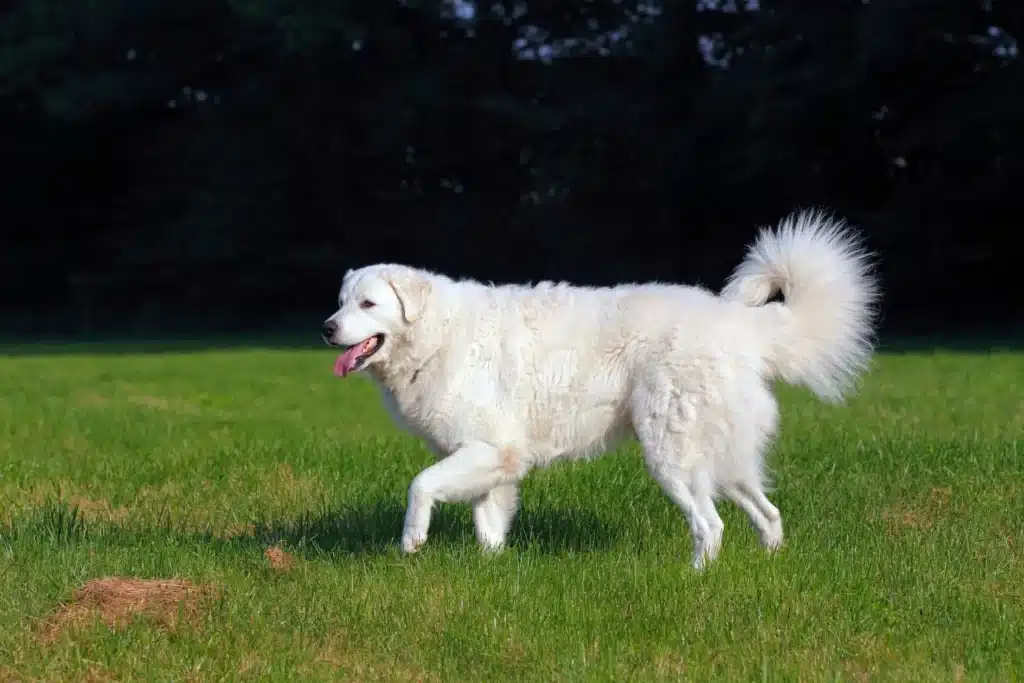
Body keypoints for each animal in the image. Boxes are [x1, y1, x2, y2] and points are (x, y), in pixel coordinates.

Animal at [321, 210, 880, 569]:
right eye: (342, 301)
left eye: (368, 305)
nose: (327, 329)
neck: (435, 333)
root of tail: (740, 324)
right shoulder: (495, 462)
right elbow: (489, 524)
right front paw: (491, 571)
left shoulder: (486, 449)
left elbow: (420, 485)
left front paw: (411, 542)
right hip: (723, 461)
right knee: (768, 513)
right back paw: (769, 565)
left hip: (672, 457)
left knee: (710, 525)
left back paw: (693, 580)